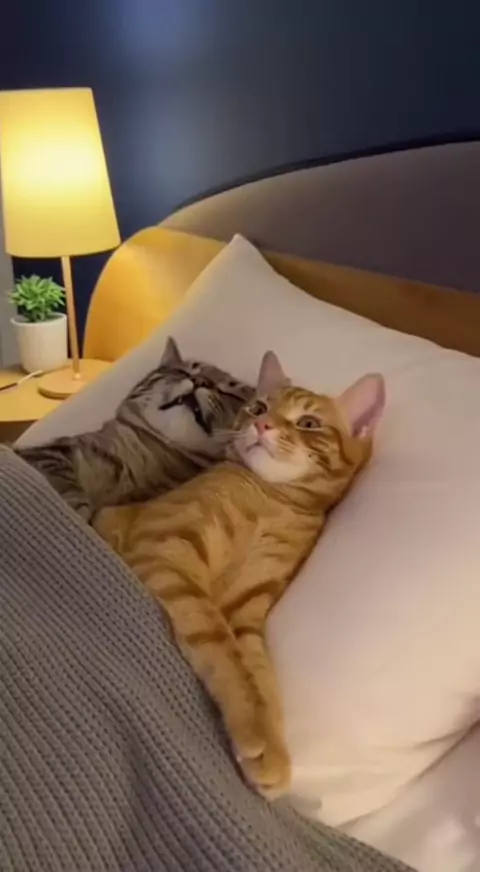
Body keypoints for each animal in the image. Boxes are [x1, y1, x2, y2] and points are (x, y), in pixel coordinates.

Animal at [94, 352, 385, 798]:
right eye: (259, 407)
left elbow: (260, 675)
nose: (262, 426)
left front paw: (272, 748)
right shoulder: (167, 550)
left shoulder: (246, 609)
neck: (272, 500)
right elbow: (225, 653)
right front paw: (256, 732)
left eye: (308, 423)